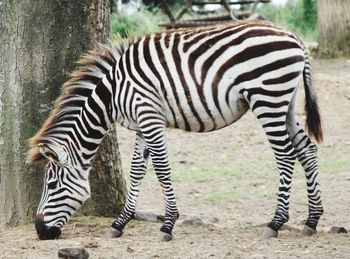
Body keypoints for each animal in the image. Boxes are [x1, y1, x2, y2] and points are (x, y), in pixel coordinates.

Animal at [26, 20, 322, 242]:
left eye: (51, 185)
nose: (39, 231)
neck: (112, 93)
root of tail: (294, 37)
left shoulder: (150, 116)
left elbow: (161, 169)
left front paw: (168, 225)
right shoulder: (140, 125)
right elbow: (137, 170)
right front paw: (120, 223)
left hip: (267, 98)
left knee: (285, 156)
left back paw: (275, 223)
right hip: (286, 103)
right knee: (307, 149)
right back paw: (312, 220)